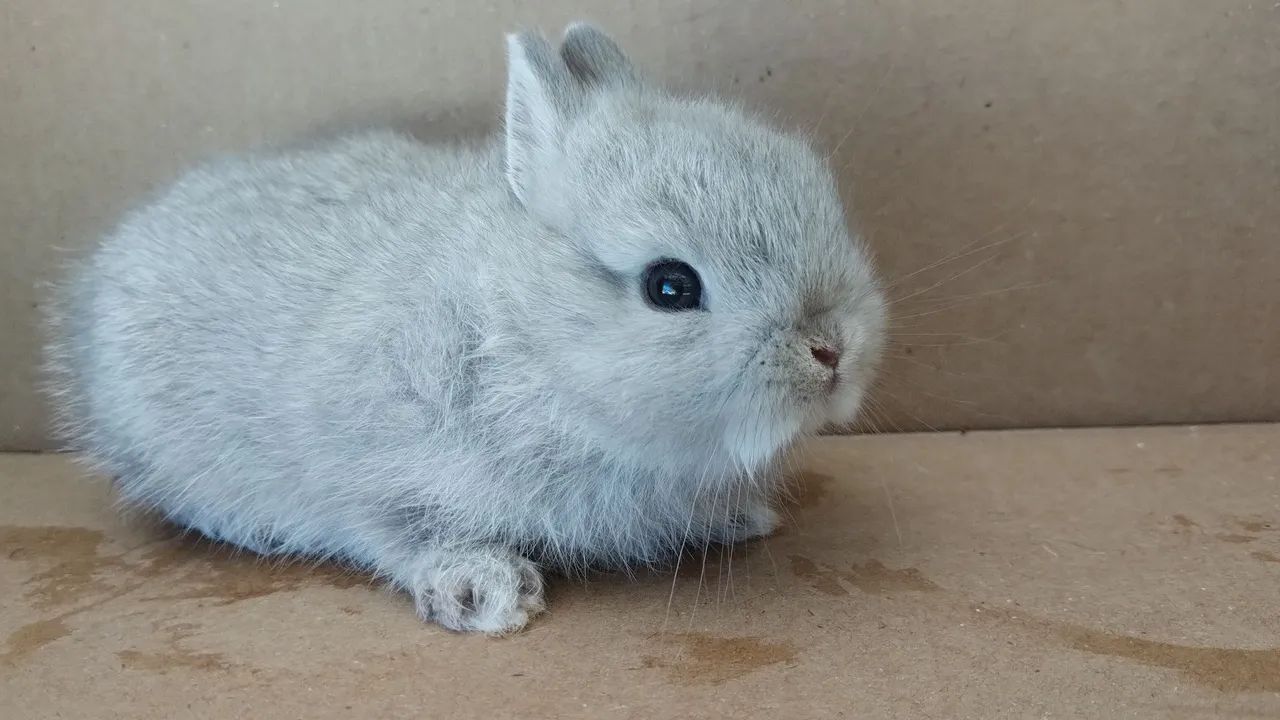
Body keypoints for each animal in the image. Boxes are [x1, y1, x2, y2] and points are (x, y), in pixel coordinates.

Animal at [42, 22, 888, 635]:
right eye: (670, 286)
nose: (832, 351)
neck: (521, 330)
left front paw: (743, 518)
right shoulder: (372, 465)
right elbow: (400, 532)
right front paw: (486, 594)